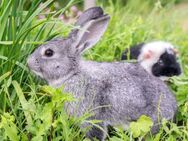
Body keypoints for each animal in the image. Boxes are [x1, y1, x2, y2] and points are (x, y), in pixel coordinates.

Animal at [27, 6, 177, 141]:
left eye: (49, 52)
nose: (28, 62)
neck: (72, 73)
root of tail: (173, 107)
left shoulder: (90, 116)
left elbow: (95, 132)